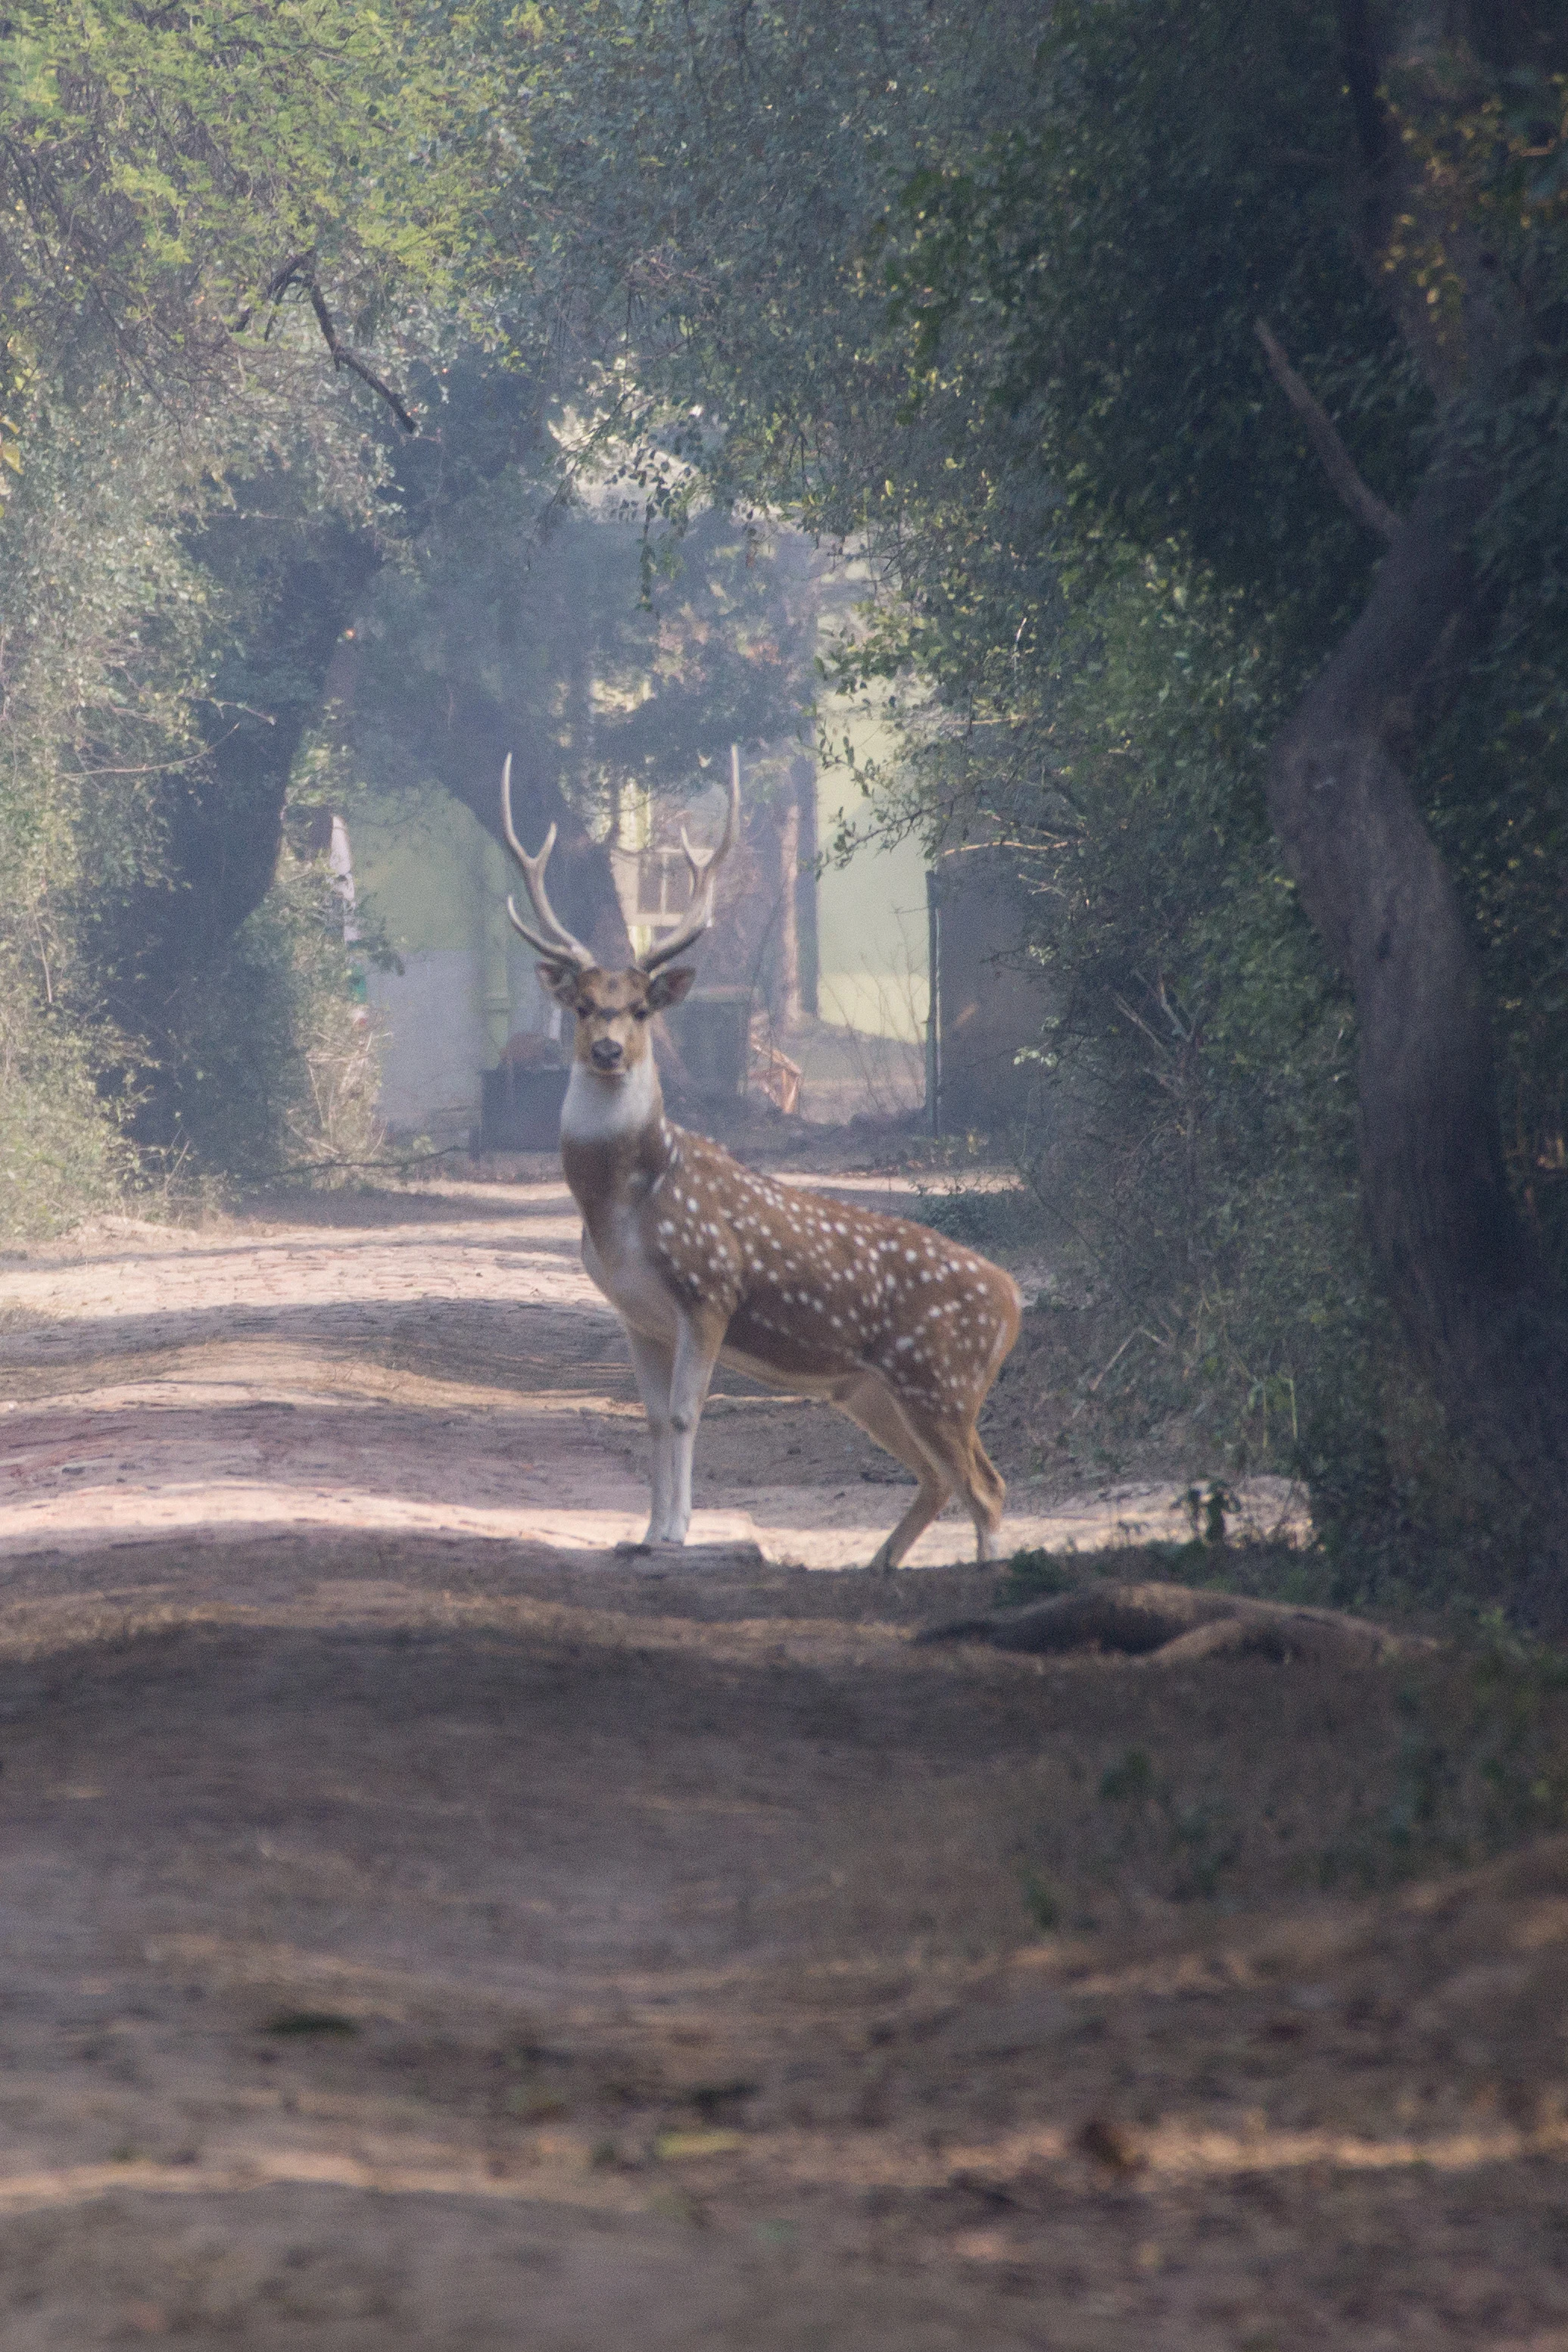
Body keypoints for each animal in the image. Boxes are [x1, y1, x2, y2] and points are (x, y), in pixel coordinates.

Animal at [499, 749, 1022, 1570]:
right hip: (871, 1389)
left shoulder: (709, 1288)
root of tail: (1014, 1302)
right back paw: (877, 1566)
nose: (609, 1049)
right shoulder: (635, 1311)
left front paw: (676, 1532)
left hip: (942, 1378)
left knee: (988, 1485)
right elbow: (653, 1419)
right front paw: (646, 1531)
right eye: (582, 1005)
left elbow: (686, 1416)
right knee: (946, 1481)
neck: (622, 1209)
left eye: (640, 1007)